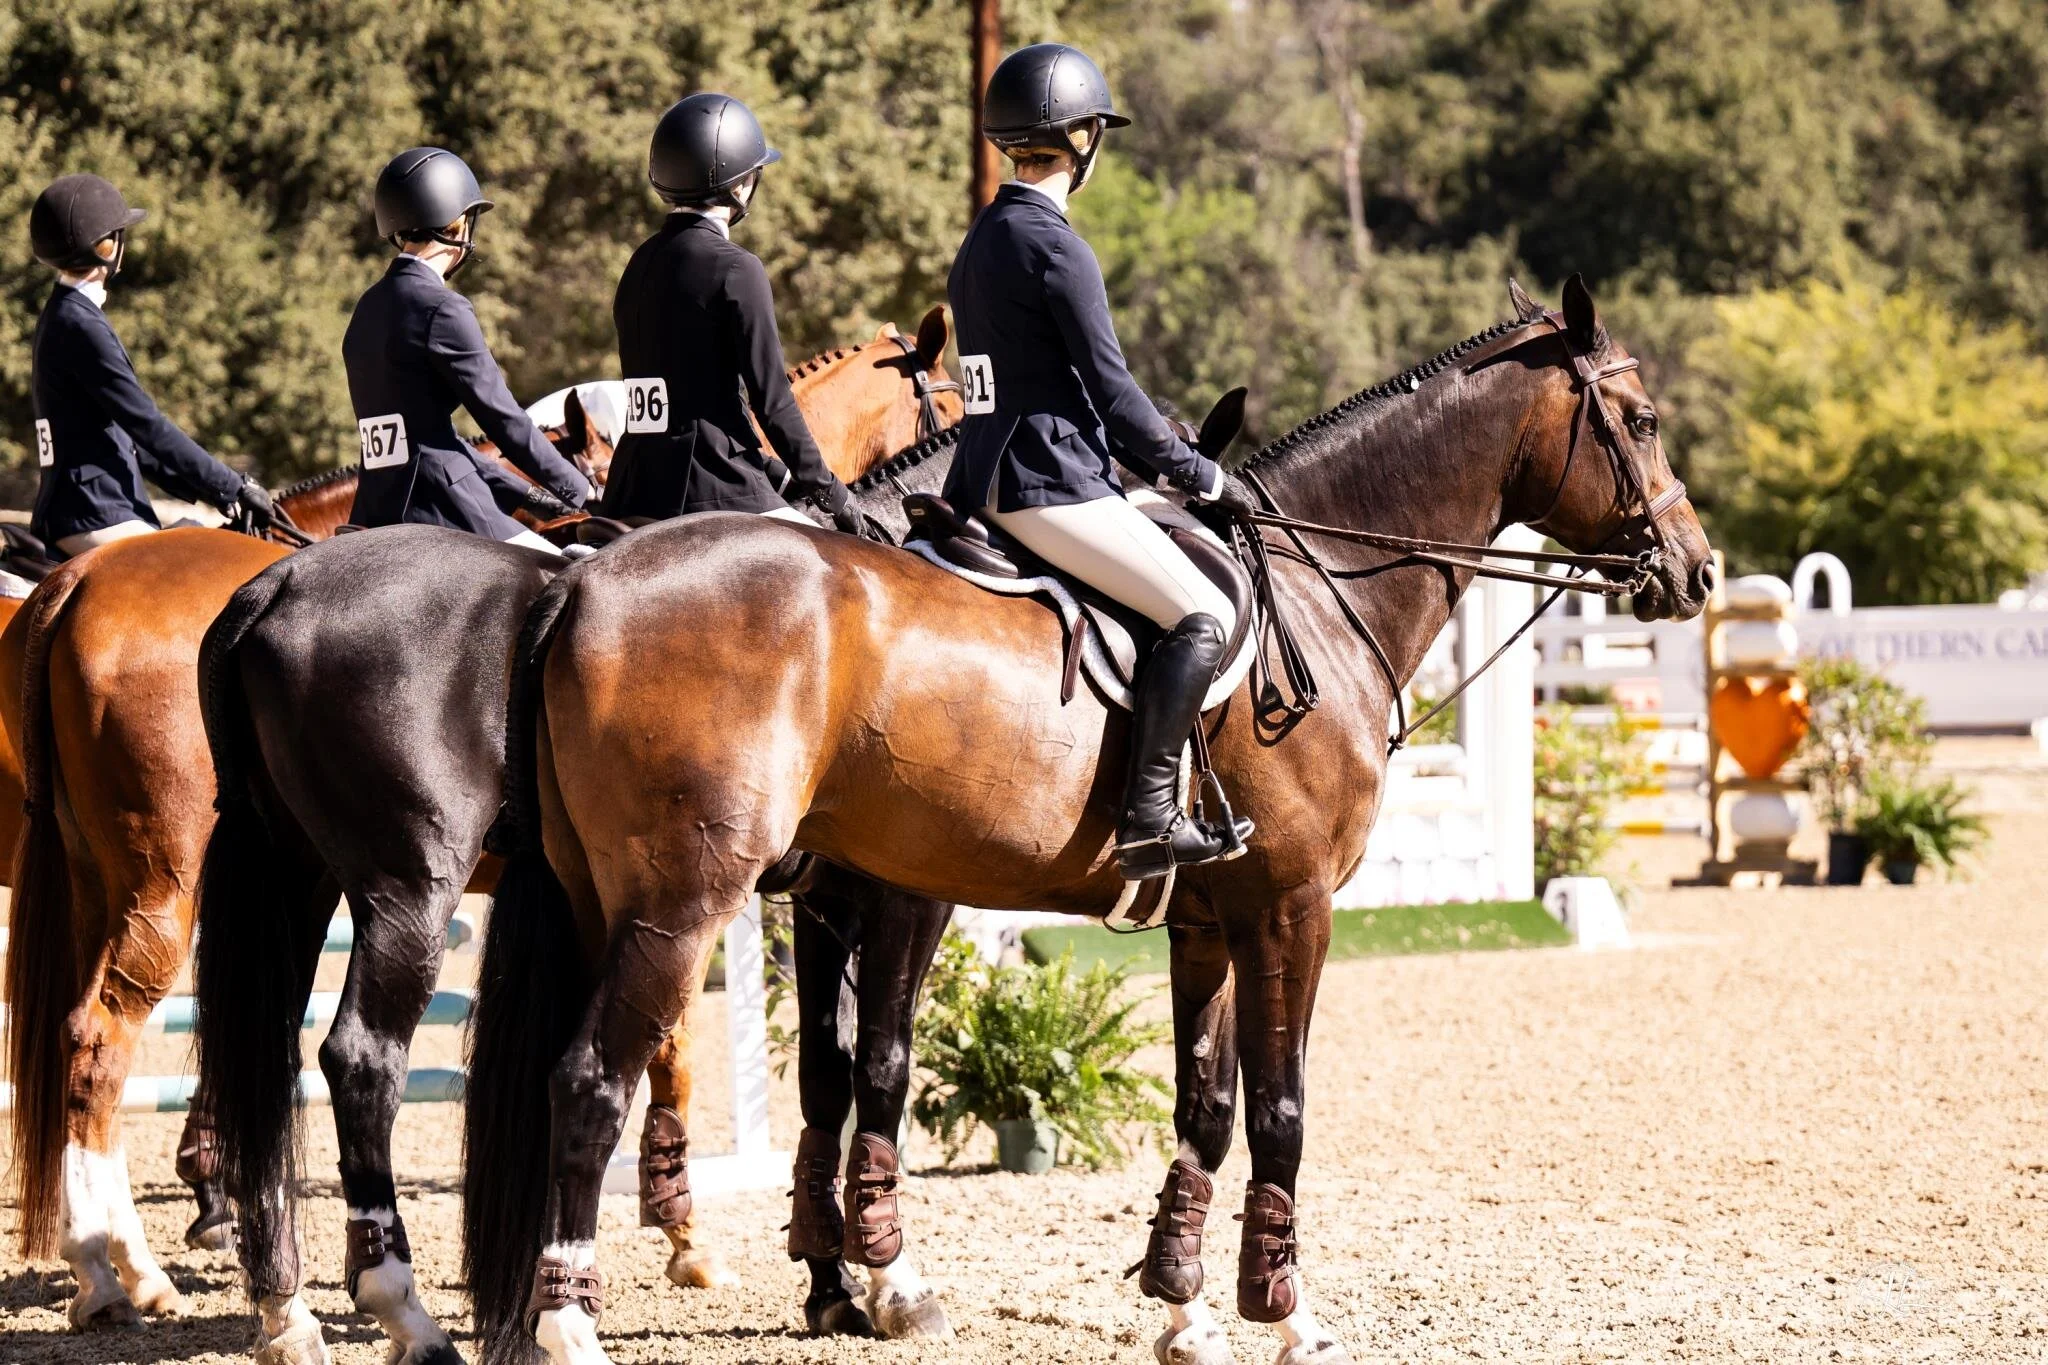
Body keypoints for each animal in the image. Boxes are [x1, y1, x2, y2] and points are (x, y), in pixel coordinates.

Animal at [0, 308, 957, 1342]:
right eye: (947, 402)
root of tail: (84, 581)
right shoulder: (776, 893)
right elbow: (784, 1059)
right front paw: (733, 1248)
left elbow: (796, 1063)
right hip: (196, 883)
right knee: (127, 1042)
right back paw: (143, 1271)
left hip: (165, 878)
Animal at [463, 277, 1716, 1365]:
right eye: (1640, 419)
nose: (1696, 571)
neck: (1323, 585)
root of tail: (580, 583)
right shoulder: (1284, 907)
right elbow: (1276, 1109)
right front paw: (1287, 1319)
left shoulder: (1205, 916)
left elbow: (1201, 1106)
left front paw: (1181, 1310)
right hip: (678, 907)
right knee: (587, 1081)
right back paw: (569, 1325)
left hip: (608, 904)